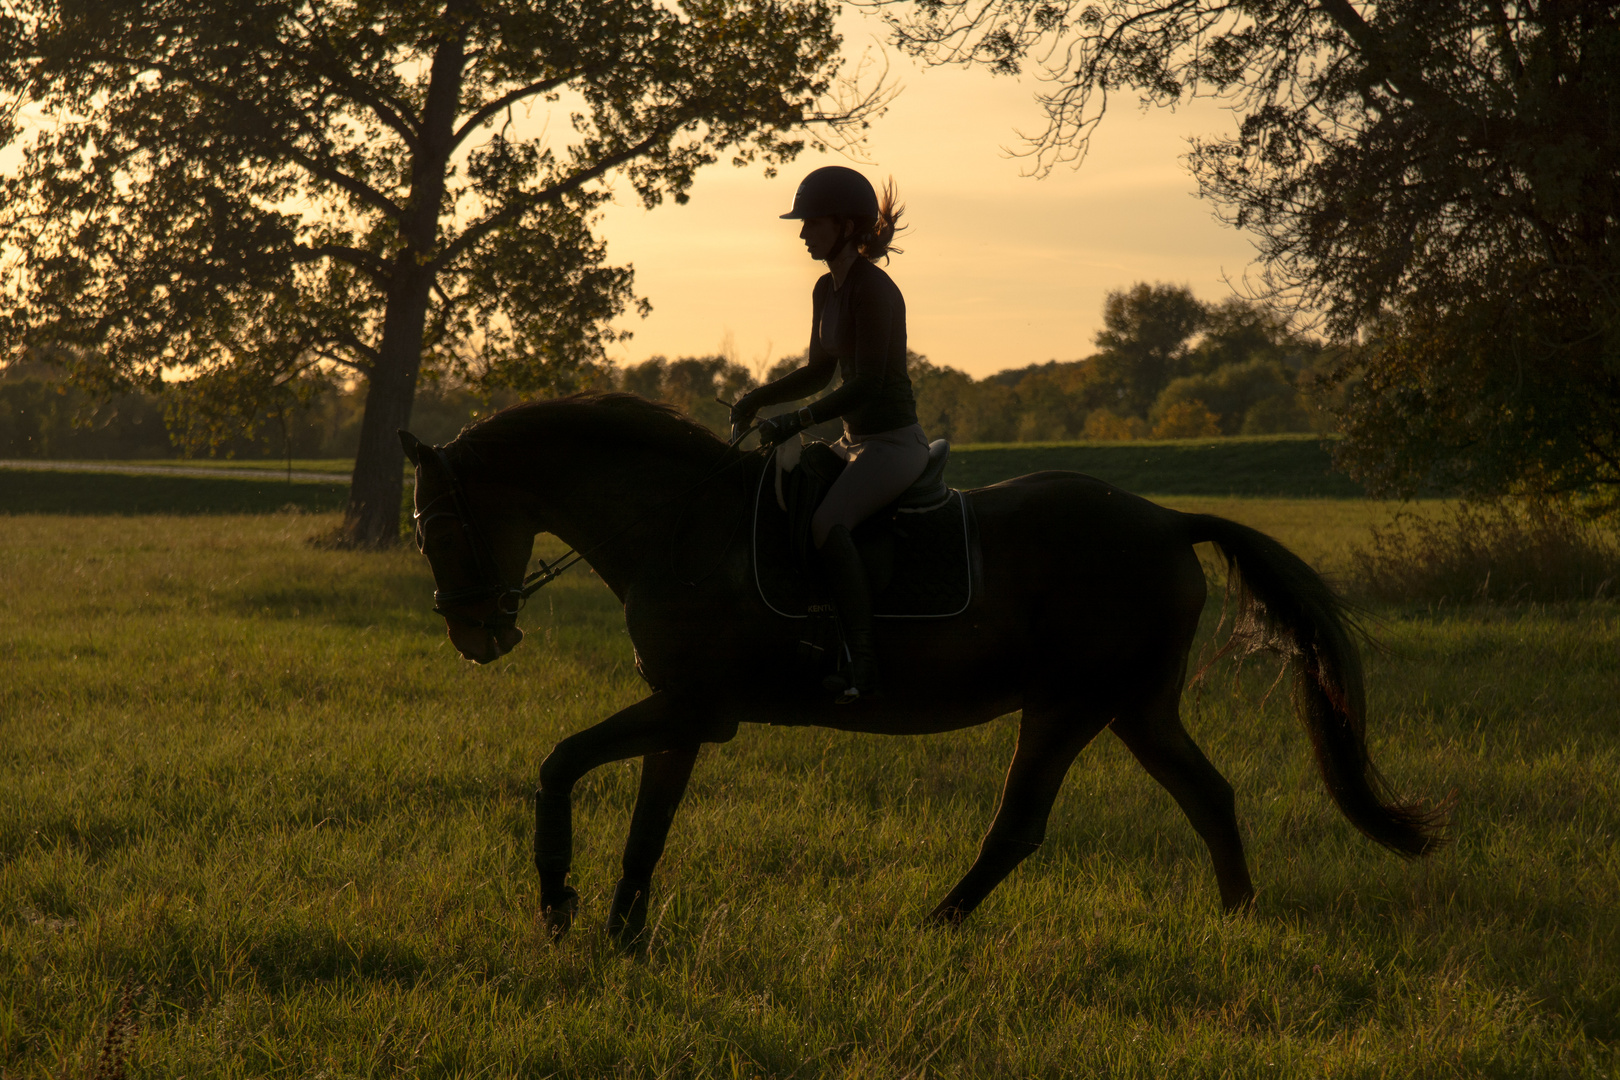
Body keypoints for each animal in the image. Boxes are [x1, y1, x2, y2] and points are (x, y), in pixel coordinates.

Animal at [398, 393, 1451, 939]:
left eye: (438, 527)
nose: (477, 637)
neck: (679, 525)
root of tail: (1163, 520)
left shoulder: (696, 707)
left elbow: (562, 764)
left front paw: (556, 905)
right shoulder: (681, 709)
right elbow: (645, 825)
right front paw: (618, 935)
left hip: (1067, 705)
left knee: (1019, 827)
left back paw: (937, 925)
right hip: (1135, 706)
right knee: (1208, 793)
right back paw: (1238, 917)